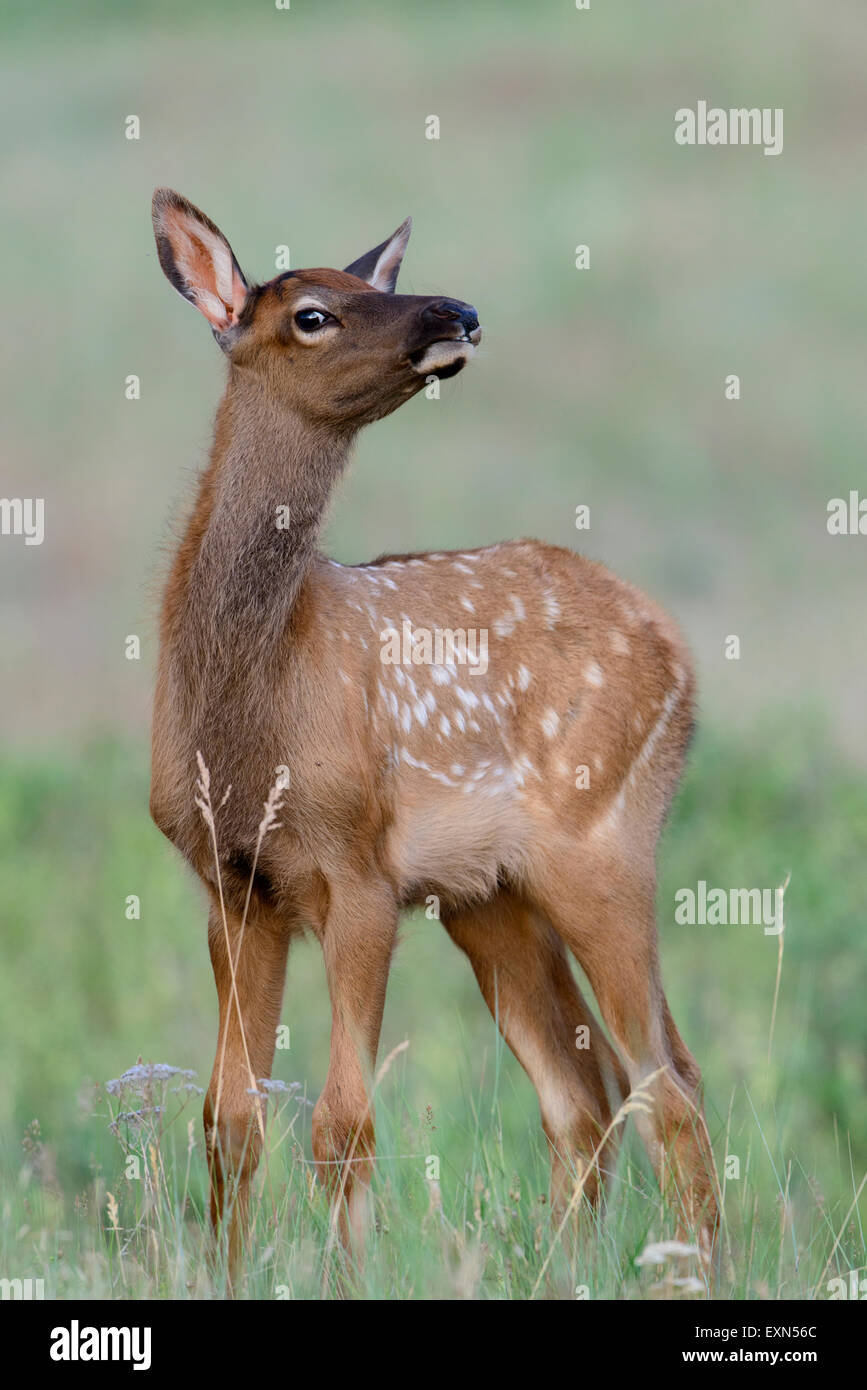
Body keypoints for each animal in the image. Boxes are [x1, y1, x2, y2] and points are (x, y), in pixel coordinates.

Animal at [149, 187, 720, 1285]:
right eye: (315, 312)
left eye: (371, 284)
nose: (454, 310)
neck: (253, 706)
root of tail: (678, 651)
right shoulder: (233, 886)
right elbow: (229, 1119)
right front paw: (234, 1275)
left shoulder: (359, 867)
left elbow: (342, 1122)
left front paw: (348, 1278)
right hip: (490, 897)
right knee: (586, 1097)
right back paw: (562, 1274)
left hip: (604, 844)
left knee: (668, 1085)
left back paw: (695, 1271)